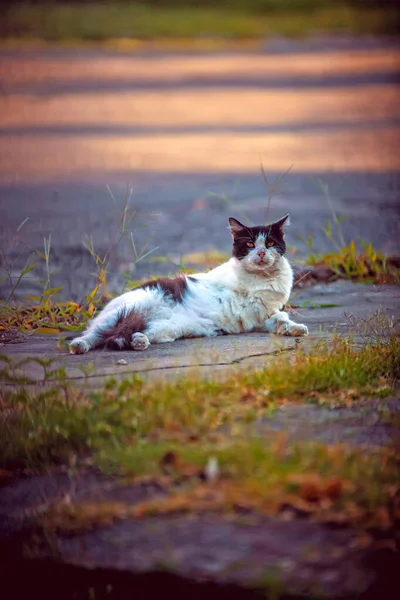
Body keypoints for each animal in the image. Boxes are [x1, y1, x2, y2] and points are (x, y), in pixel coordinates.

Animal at [69, 216, 310, 354]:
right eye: (250, 244)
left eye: (269, 243)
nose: (260, 253)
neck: (264, 277)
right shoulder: (254, 308)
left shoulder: (262, 317)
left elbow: (280, 319)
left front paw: (296, 328)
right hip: (124, 311)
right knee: (95, 333)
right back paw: (79, 346)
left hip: (167, 328)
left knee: (127, 336)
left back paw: (139, 341)